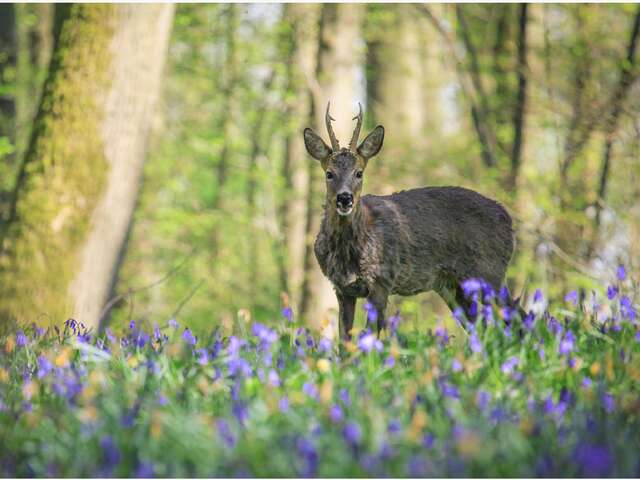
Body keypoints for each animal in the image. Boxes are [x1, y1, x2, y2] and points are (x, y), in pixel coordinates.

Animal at [302, 103, 516, 340]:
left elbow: (369, 337)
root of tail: (508, 220)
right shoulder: (342, 288)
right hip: (453, 286)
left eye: (359, 173)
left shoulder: (382, 280)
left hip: (491, 274)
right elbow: (344, 341)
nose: (344, 198)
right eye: (329, 173)